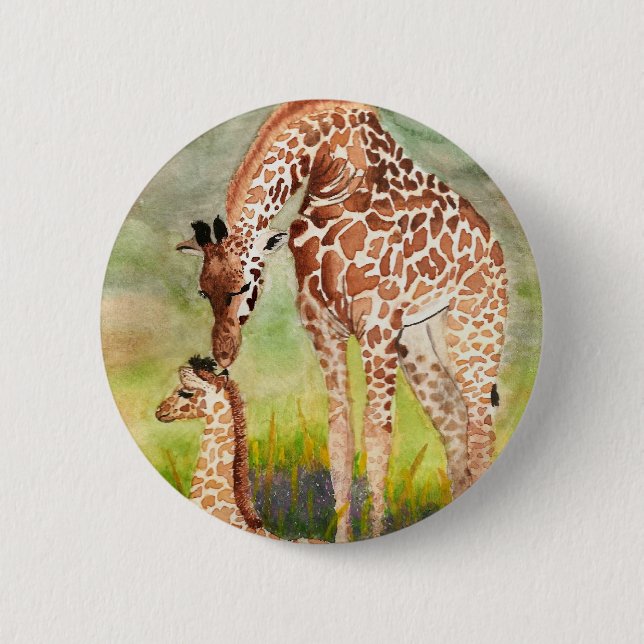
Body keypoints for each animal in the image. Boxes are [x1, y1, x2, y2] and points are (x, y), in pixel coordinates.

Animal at [176, 100, 508, 540]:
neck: (327, 170)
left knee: (480, 426)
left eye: (243, 286)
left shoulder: (377, 325)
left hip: (474, 329)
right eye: (202, 292)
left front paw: (375, 533)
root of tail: (494, 243)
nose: (224, 355)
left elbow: (378, 433)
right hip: (419, 341)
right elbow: (340, 435)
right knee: (454, 423)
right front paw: (341, 538)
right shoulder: (323, 327)